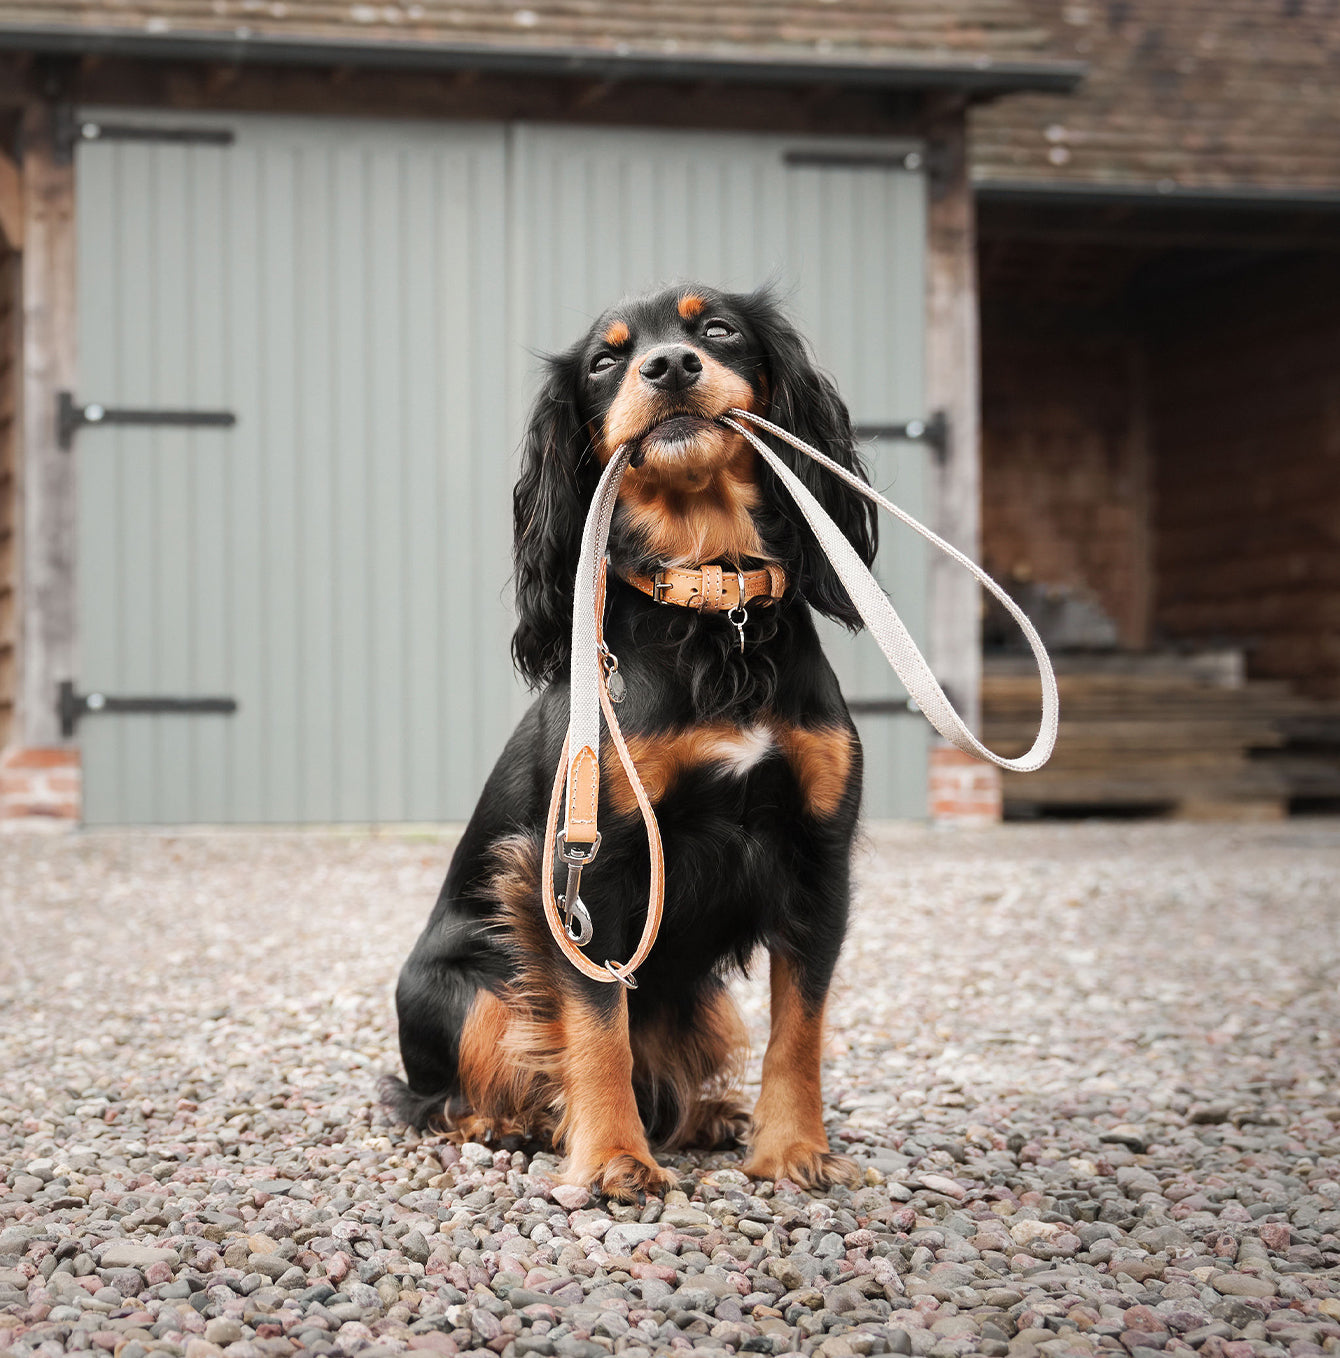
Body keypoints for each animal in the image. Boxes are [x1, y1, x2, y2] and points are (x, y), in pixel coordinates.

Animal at [385, 281, 879, 1195]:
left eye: (718, 328)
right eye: (603, 361)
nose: (670, 366)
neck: (715, 609)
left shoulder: (817, 857)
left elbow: (801, 1026)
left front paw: (793, 1149)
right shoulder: (591, 864)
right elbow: (594, 1024)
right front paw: (615, 1157)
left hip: (701, 997)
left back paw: (708, 1116)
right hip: (467, 990)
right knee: (439, 1089)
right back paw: (508, 1122)